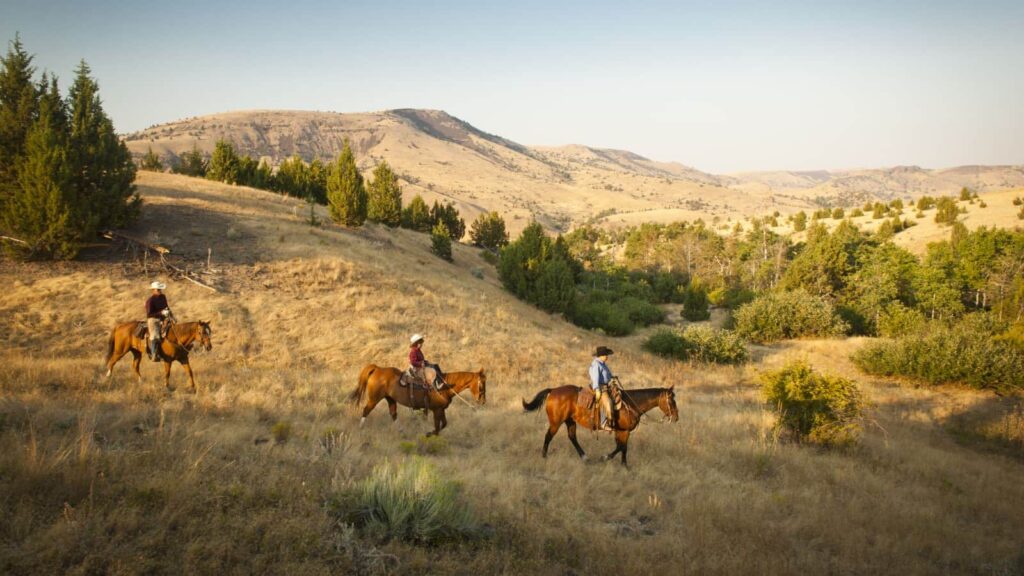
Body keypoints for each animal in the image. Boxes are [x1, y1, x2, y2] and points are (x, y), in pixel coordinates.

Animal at [352, 362, 487, 434]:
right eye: (481, 384)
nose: (483, 401)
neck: (445, 386)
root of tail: (377, 368)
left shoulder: (441, 410)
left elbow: (444, 424)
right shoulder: (436, 410)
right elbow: (437, 428)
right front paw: (429, 434)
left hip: (390, 399)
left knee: (393, 414)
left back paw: (401, 431)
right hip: (374, 399)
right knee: (366, 410)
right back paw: (360, 428)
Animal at [520, 383, 679, 463]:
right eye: (671, 400)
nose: (676, 417)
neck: (631, 403)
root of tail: (553, 390)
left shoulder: (621, 431)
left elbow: (622, 447)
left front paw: (623, 465)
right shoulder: (624, 431)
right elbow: (622, 447)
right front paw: (608, 459)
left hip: (570, 421)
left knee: (572, 437)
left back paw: (584, 457)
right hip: (556, 422)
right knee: (548, 436)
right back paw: (544, 456)